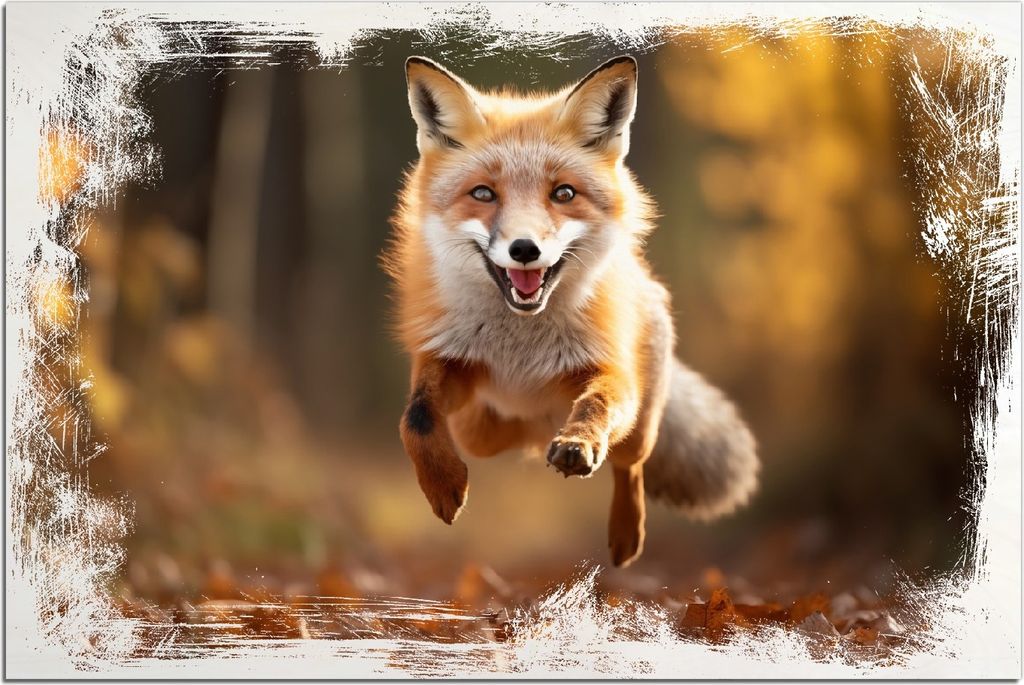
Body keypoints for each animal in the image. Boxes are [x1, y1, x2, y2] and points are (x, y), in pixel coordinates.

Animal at [384, 55, 759, 567]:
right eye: (483, 194)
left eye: (563, 194)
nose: (524, 249)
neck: (521, 347)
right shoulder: (448, 361)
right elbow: (416, 419)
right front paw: (442, 486)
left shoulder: (609, 370)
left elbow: (596, 405)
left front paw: (578, 443)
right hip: (478, 429)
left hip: (641, 424)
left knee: (630, 464)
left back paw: (626, 535)